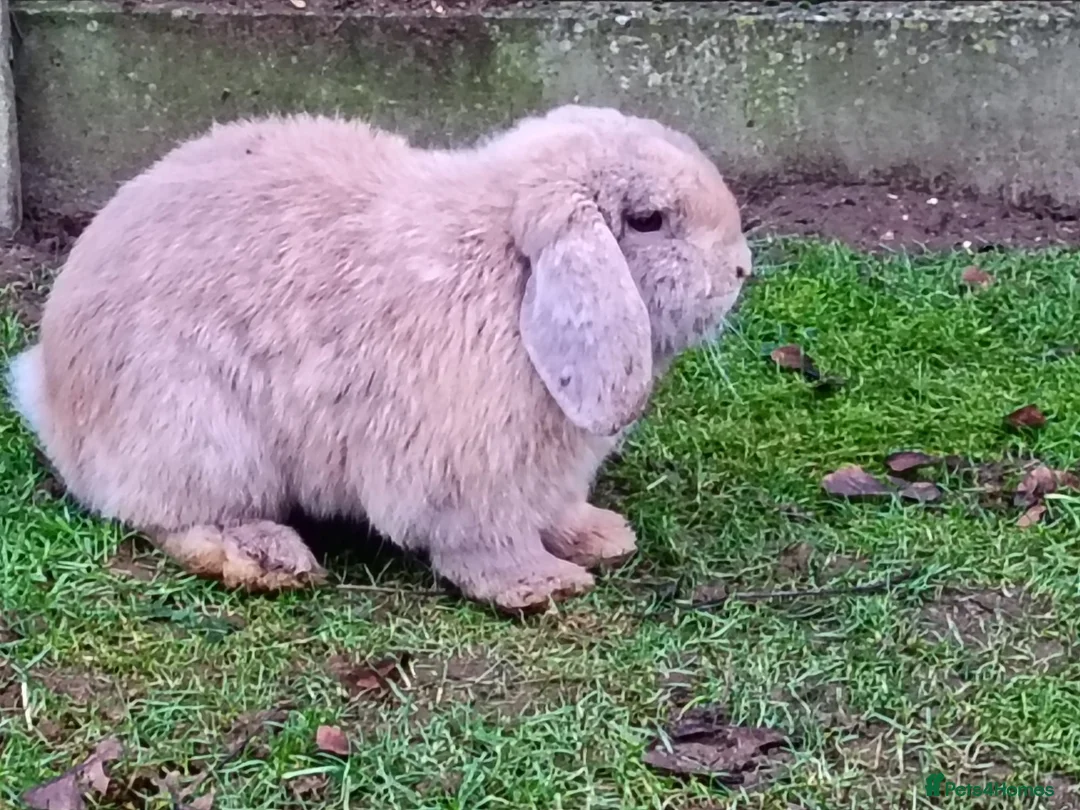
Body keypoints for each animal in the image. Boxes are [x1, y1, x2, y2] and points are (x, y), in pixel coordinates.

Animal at [6, 104, 752, 614]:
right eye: (649, 219)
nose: (742, 270)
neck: (513, 277)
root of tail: (50, 393)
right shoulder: (467, 479)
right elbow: (485, 543)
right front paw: (540, 586)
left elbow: (557, 513)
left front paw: (601, 537)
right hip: (201, 435)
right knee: (173, 518)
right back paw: (270, 558)